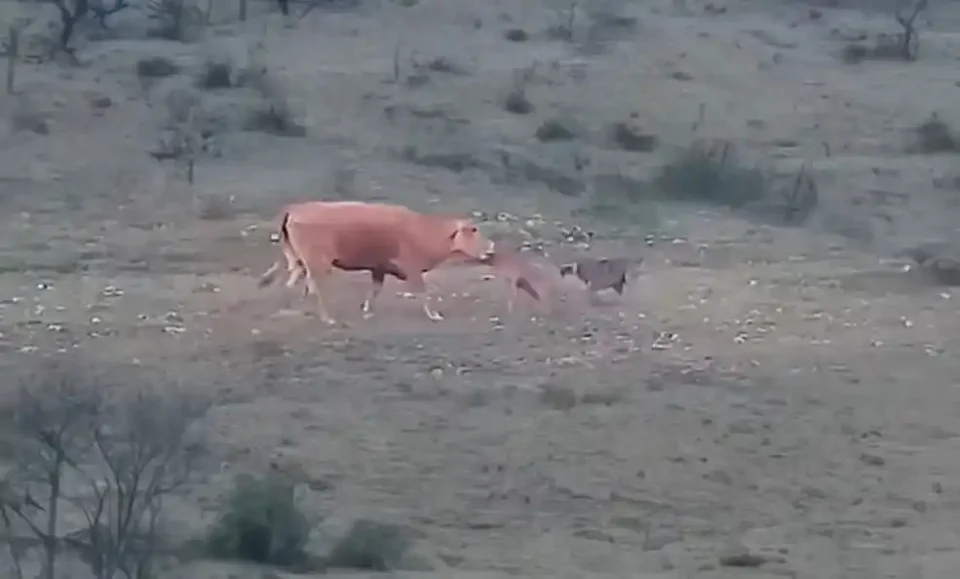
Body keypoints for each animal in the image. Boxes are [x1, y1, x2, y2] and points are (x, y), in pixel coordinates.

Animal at [257, 201, 495, 324]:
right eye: (474, 230)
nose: (491, 247)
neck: (424, 231)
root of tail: (294, 209)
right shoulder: (413, 269)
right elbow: (423, 292)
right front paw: (434, 315)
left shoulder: (378, 268)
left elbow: (375, 290)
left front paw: (367, 310)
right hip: (318, 263)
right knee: (316, 288)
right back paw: (326, 317)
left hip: (298, 260)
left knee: (291, 284)